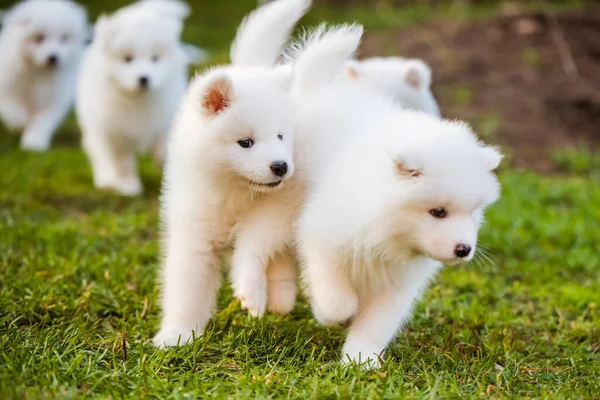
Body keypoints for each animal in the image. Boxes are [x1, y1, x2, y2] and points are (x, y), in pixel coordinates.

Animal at [0, 0, 88, 150]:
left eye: (64, 38)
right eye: (40, 38)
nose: (53, 57)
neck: (37, 71)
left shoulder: (54, 97)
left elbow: (43, 121)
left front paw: (34, 143)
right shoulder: (7, 86)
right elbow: (12, 109)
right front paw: (20, 121)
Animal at [152, 0, 312, 348]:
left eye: (281, 136)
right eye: (245, 142)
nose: (281, 166)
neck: (237, 193)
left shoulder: (277, 211)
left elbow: (258, 246)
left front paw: (256, 293)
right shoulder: (195, 235)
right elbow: (187, 291)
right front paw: (177, 335)